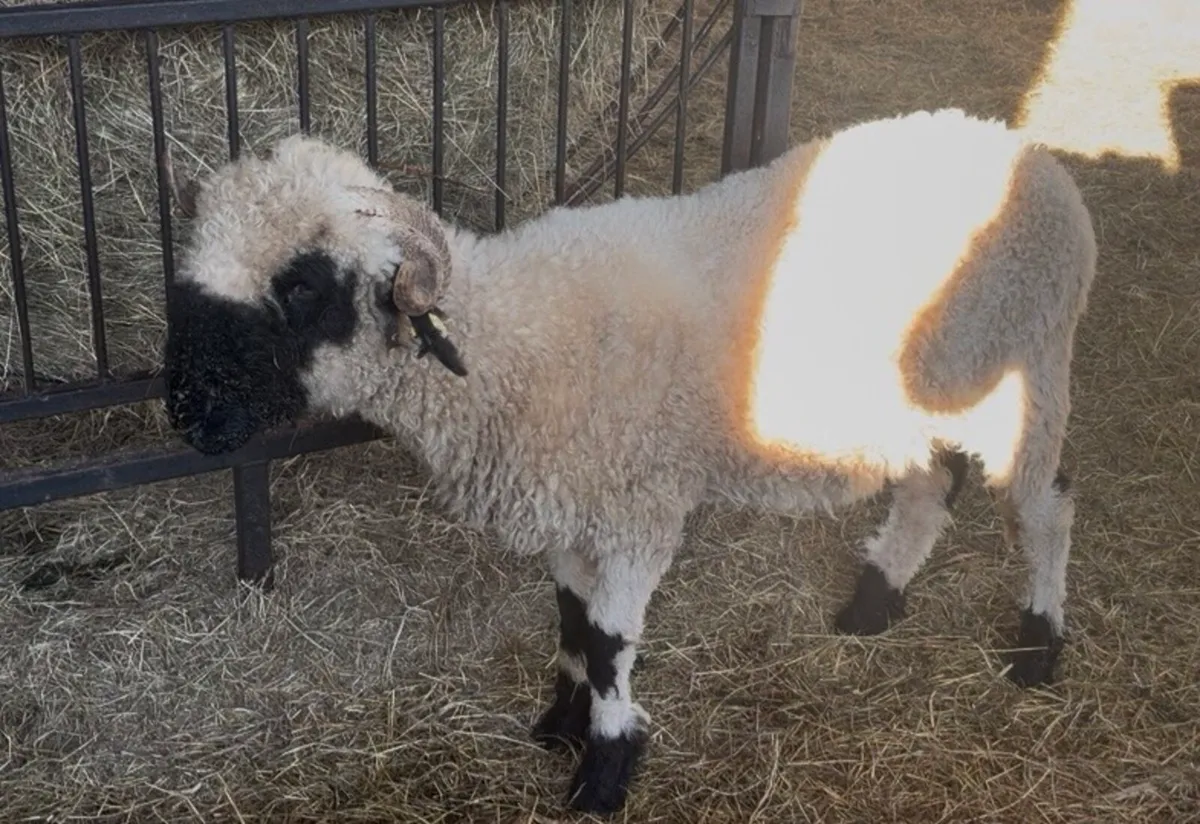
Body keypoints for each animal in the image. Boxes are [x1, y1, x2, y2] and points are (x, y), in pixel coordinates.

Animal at [162, 107, 1097, 815]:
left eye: (303, 284)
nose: (188, 413)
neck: (515, 344)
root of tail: (1024, 152)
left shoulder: (637, 512)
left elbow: (612, 643)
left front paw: (606, 769)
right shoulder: (573, 510)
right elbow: (573, 622)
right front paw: (563, 721)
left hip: (1030, 370)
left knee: (1046, 505)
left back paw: (1038, 643)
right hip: (923, 395)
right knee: (932, 485)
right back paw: (874, 601)